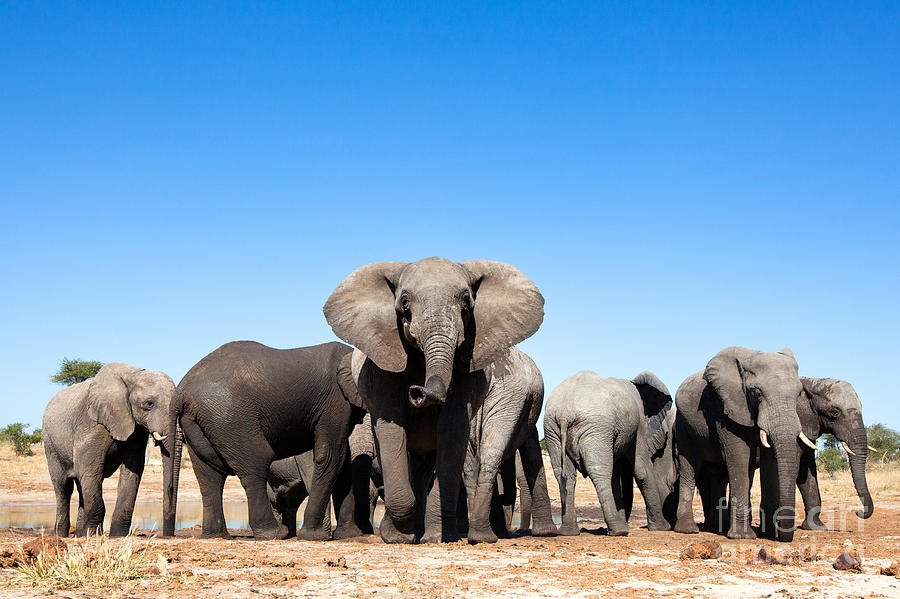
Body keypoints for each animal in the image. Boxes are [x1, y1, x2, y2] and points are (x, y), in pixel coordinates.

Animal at [42, 364, 176, 536]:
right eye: (149, 403)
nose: (168, 534)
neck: (133, 375)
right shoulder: (91, 423)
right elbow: (90, 470)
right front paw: (92, 534)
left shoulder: (136, 428)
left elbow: (132, 470)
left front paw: (117, 536)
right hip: (50, 442)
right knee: (63, 487)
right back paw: (62, 534)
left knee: (81, 485)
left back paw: (79, 534)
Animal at [326, 256, 544, 544]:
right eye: (404, 301)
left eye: (466, 302)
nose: (417, 391)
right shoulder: (381, 364)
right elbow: (392, 428)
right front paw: (397, 537)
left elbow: (451, 429)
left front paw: (435, 538)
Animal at [540, 372, 668, 536]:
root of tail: (565, 411)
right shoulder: (638, 425)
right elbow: (642, 471)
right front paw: (662, 528)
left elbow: (617, 473)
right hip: (595, 429)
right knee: (600, 472)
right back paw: (619, 531)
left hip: (552, 429)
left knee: (565, 475)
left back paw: (568, 531)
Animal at [672, 344, 804, 540]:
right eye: (757, 392)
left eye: (799, 393)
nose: (783, 535)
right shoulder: (725, 407)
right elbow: (739, 458)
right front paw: (742, 537)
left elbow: (769, 464)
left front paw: (768, 534)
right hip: (683, 424)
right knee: (689, 465)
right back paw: (688, 529)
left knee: (718, 475)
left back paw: (717, 527)